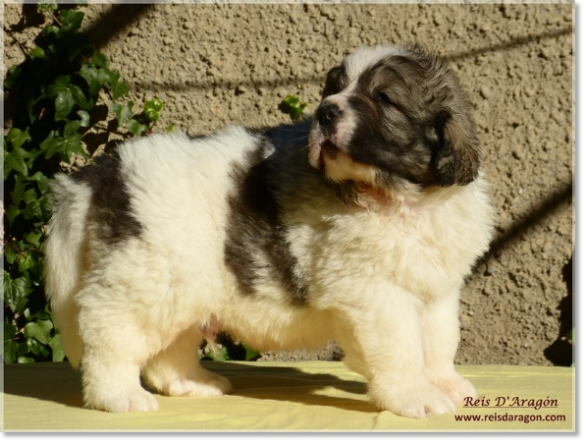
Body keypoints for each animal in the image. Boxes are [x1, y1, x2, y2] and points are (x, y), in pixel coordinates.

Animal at [45, 45, 490, 420]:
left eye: (383, 98)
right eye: (333, 89)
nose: (326, 112)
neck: (398, 198)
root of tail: (102, 171)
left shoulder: (436, 290)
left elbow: (438, 341)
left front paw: (447, 384)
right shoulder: (375, 293)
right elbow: (401, 347)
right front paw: (415, 396)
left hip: (181, 286)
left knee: (169, 349)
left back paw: (193, 382)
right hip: (147, 276)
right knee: (109, 331)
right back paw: (118, 396)